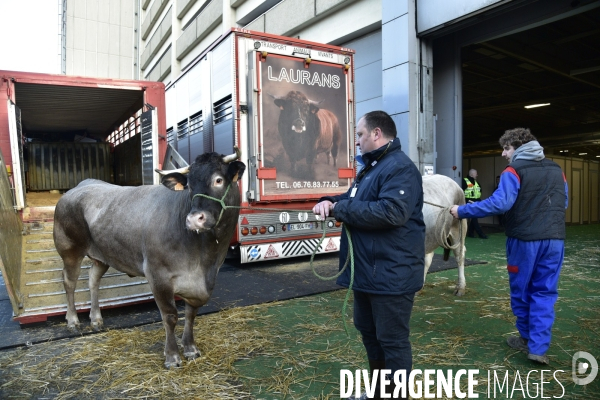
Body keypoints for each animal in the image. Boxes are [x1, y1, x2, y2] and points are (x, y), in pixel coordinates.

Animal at [54, 148, 245, 368]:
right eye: (189, 186)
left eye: (218, 180)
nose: (194, 219)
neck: (205, 258)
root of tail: (80, 185)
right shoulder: (158, 274)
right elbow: (170, 316)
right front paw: (172, 356)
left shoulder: (200, 282)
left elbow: (191, 314)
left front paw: (190, 348)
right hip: (70, 249)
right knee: (69, 282)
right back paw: (73, 321)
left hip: (102, 255)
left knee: (93, 279)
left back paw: (96, 319)